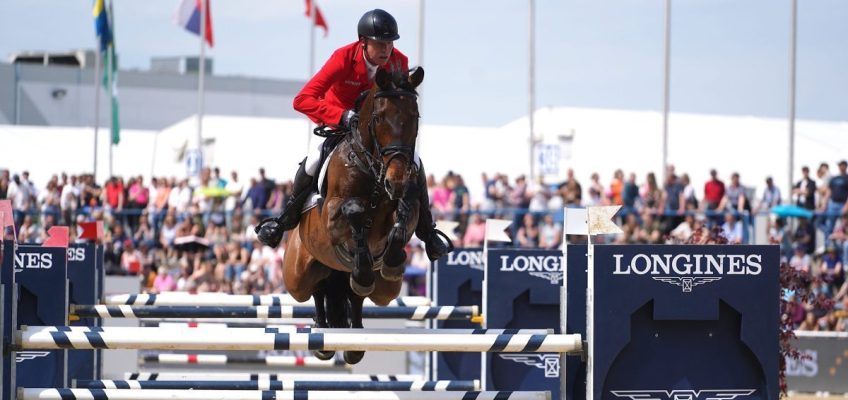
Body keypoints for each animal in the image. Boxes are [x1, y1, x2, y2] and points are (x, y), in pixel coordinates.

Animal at [284, 67, 424, 364]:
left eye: (414, 117)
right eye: (379, 117)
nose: (396, 180)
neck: (373, 170)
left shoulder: (410, 203)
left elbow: (404, 214)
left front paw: (391, 260)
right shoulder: (331, 216)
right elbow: (354, 211)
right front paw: (362, 263)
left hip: (387, 291)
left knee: (356, 295)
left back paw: (354, 337)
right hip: (297, 277)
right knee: (316, 290)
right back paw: (323, 335)